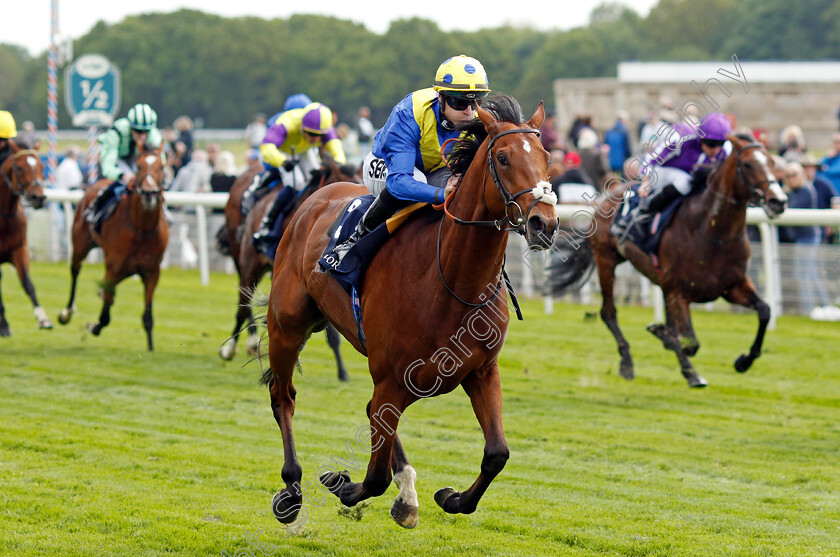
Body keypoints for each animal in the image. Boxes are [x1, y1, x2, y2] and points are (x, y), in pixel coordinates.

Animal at [0, 143, 52, 334]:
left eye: (42, 166)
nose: (38, 197)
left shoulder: (19, 249)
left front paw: (43, 319)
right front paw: (4, 325)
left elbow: (28, 284)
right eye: (19, 168)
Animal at [58, 146, 169, 350]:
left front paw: (151, 348)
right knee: (75, 271)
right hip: (80, 245)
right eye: (139, 167)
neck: (142, 229)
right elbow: (105, 316)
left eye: (162, 167)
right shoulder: (114, 267)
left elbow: (148, 317)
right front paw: (94, 325)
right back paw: (67, 312)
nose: (149, 193)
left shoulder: (152, 273)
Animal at [260, 97, 556, 528]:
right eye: (502, 158)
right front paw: (342, 483)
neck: (453, 282)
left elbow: (497, 453)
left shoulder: (480, 371)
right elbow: (374, 476)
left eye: (547, 157)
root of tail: (316, 197)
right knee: (283, 398)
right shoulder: (391, 378)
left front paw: (451, 497)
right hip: (287, 326)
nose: (544, 223)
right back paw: (292, 490)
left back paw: (406, 495)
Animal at [580, 135, 784, 386]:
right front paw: (663, 335)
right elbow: (690, 342)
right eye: (747, 164)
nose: (778, 201)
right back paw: (627, 363)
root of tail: (607, 194)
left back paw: (690, 372)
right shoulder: (679, 293)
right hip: (606, 258)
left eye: (772, 162)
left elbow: (765, 311)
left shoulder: (733, 286)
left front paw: (743, 361)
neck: (712, 233)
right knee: (608, 312)